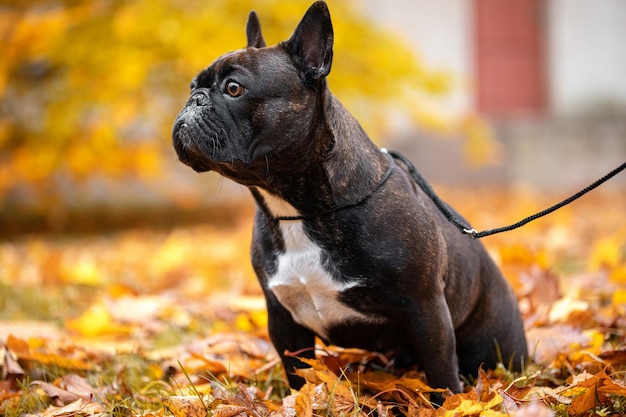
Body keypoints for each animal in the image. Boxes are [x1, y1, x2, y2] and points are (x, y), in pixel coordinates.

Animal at [172, 0, 528, 398]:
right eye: (193, 87)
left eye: (234, 88)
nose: (194, 100)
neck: (300, 210)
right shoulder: (284, 319)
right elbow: (297, 373)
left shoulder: (426, 309)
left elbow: (441, 375)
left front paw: (448, 404)